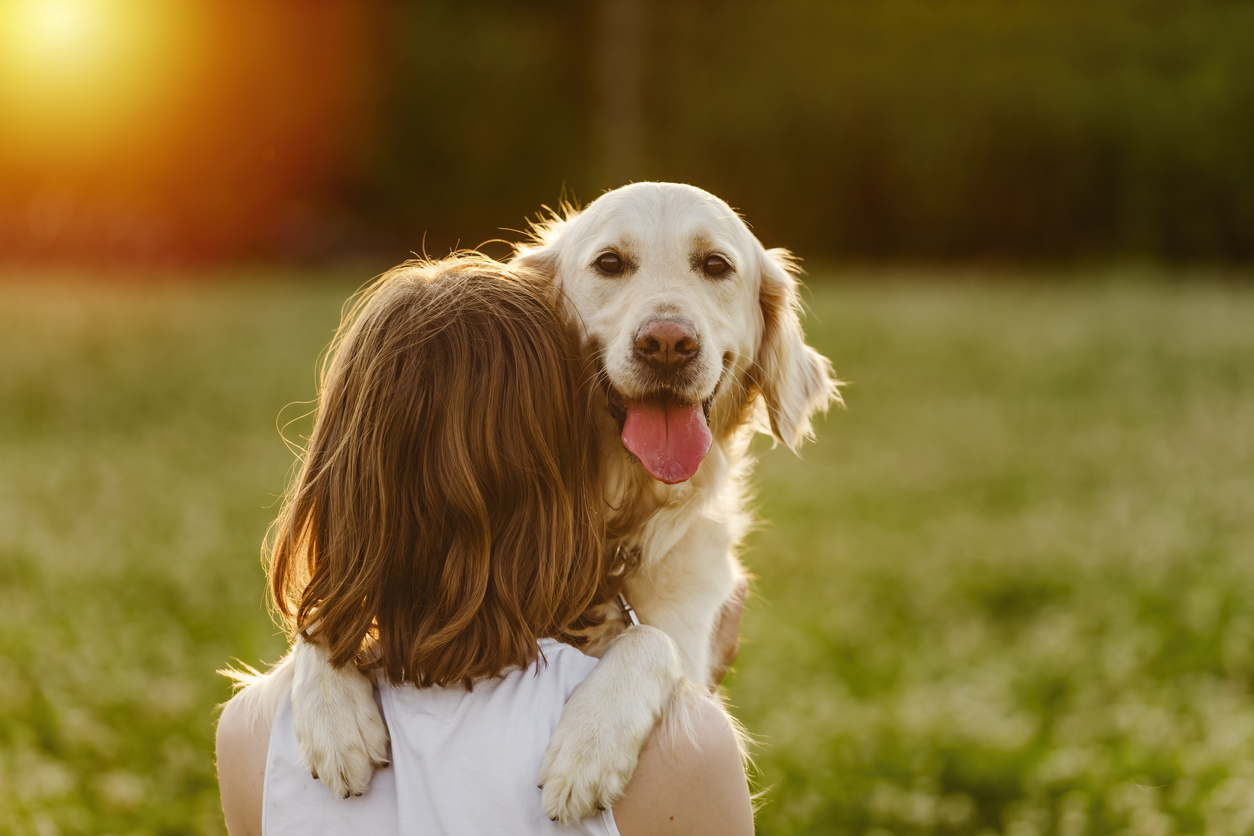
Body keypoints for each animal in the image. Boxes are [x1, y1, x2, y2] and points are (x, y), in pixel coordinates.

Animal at [287, 184, 837, 822]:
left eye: (716, 266)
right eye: (610, 263)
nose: (667, 344)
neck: (618, 520)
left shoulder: (690, 636)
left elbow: (651, 639)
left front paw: (588, 746)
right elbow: (321, 612)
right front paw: (336, 720)